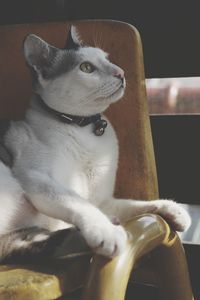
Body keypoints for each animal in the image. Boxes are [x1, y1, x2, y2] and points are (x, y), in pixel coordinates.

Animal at [0, 25, 191, 262]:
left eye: (107, 59)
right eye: (86, 68)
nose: (121, 72)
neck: (85, 130)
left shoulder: (103, 201)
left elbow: (135, 205)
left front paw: (172, 209)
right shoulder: (37, 178)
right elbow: (79, 203)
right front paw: (106, 232)